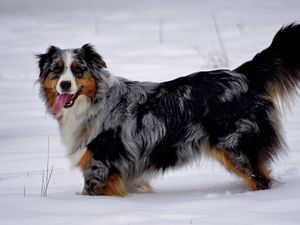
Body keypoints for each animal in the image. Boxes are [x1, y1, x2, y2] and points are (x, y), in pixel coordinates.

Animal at [37, 23, 300, 196]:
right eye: (56, 70)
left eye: (78, 70)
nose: (65, 85)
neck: (94, 103)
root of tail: (242, 74)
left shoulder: (100, 167)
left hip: (237, 148)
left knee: (261, 181)